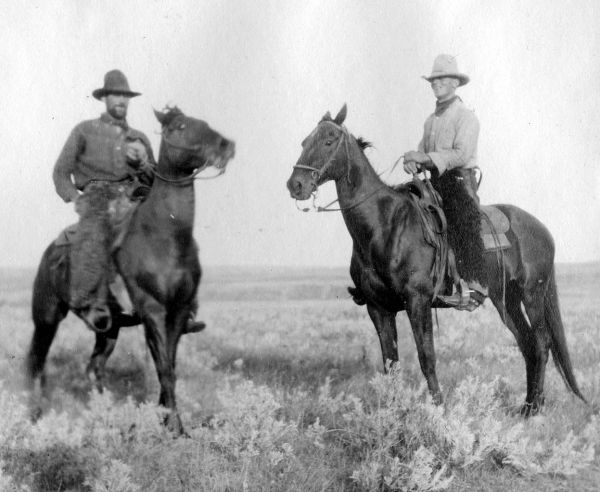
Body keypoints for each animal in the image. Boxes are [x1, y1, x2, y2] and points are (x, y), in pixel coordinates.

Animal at [288, 104, 584, 416]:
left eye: (328, 141)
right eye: (304, 142)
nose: (295, 185)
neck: (385, 225)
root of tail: (542, 230)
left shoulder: (418, 301)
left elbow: (426, 356)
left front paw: (438, 409)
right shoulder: (378, 307)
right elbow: (390, 363)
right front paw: (393, 412)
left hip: (532, 293)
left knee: (540, 342)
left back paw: (534, 409)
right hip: (506, 300)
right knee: (526, 343)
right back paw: (527, 406)